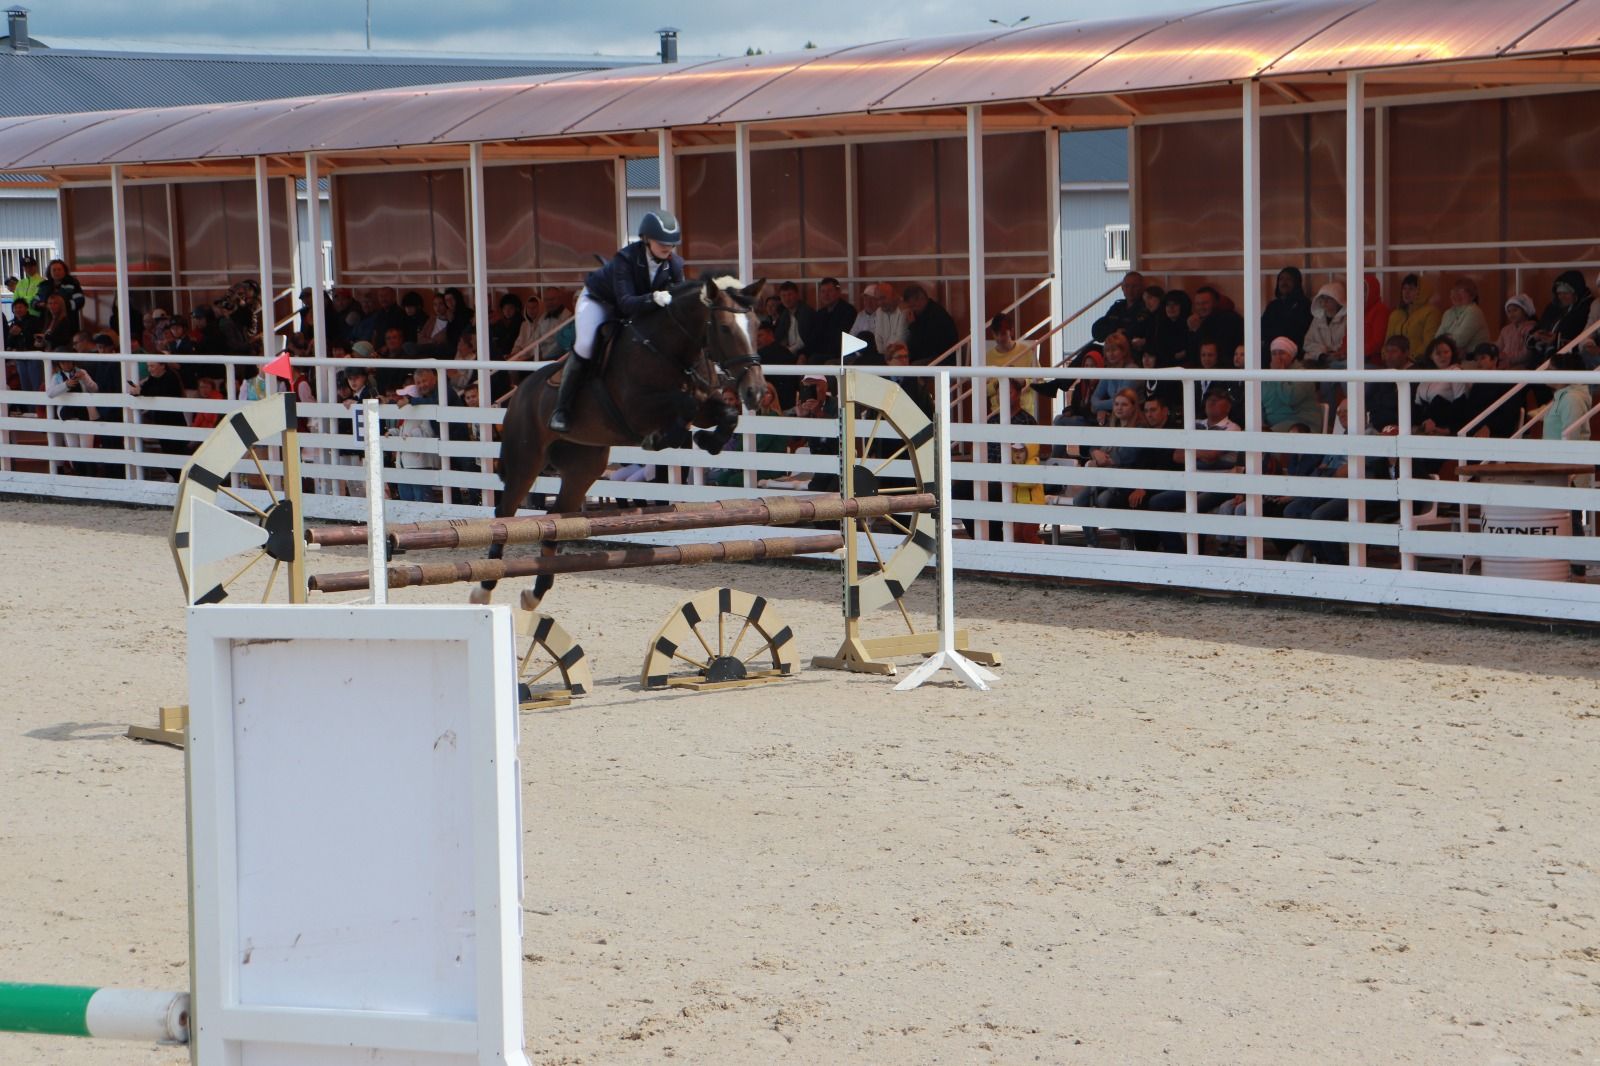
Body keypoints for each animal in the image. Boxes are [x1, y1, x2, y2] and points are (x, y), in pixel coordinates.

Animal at [467, 270, 768, 611]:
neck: (670, 348)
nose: (755, 392)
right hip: (526, 459)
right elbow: (684, 405)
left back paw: (535, 593)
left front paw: (708, 441)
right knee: (504, 514)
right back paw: (484, 588)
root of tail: (519, 393)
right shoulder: (637, 409)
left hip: (584, 466)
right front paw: (663, 437)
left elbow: (725, 414)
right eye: (725, 327)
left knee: (556, 519)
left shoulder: (705, 404)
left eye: (756, 324)